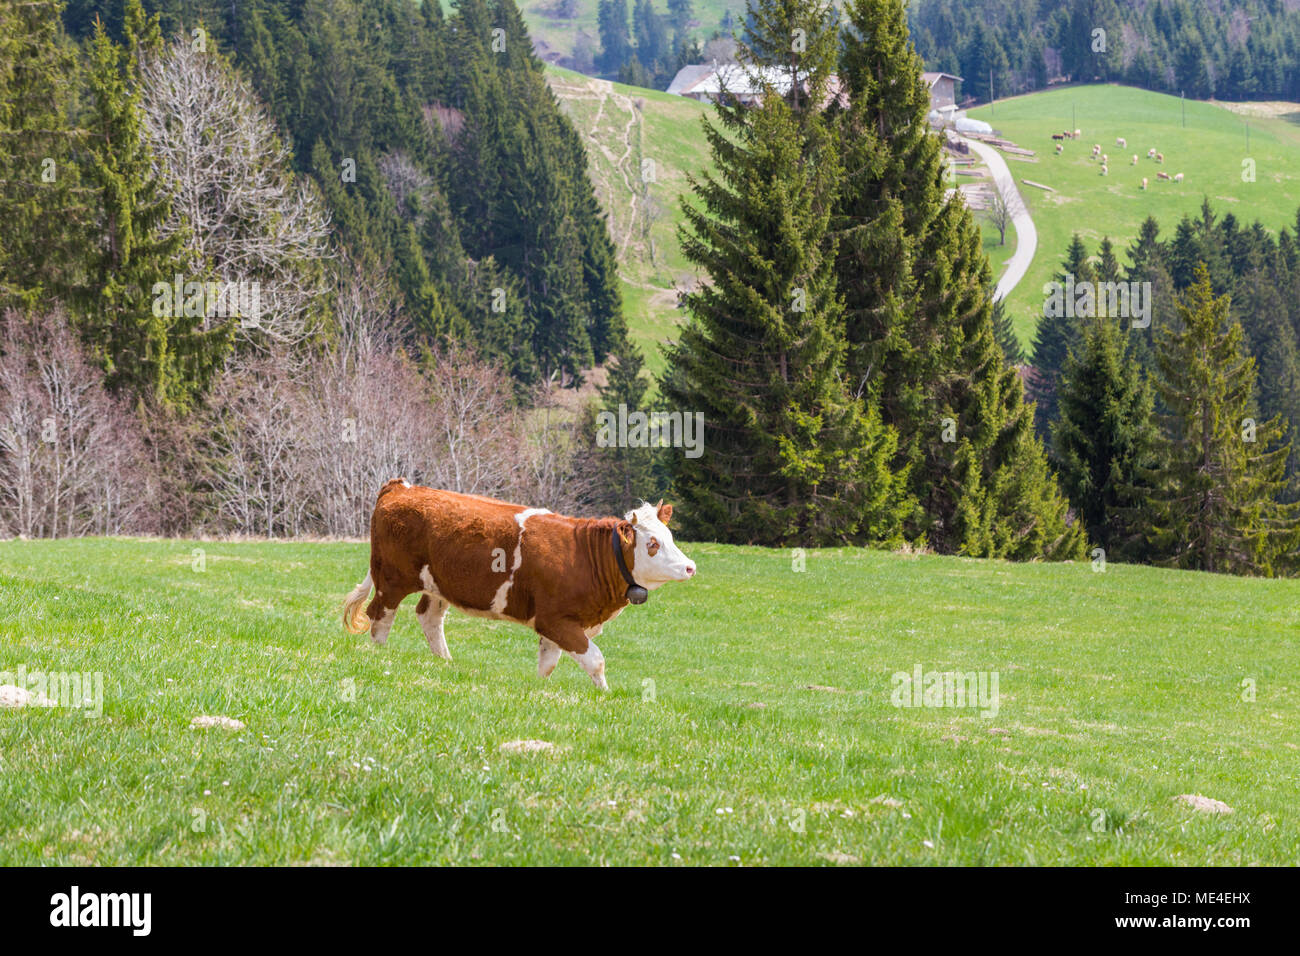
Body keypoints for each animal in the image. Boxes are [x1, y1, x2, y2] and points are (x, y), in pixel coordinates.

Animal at [340, 481, 696, 691]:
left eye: (670, 537)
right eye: (652, 543)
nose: (690, 567)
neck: (587, 556)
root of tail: (401, 486)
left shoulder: (557, 626)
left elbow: (547, 665)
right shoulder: (555, 620)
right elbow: (595, 659)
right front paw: (606, 696)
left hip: (436, 584)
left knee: (429, 617)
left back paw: (445, 662)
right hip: (392, 579)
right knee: (380, 615)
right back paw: (380, 654)